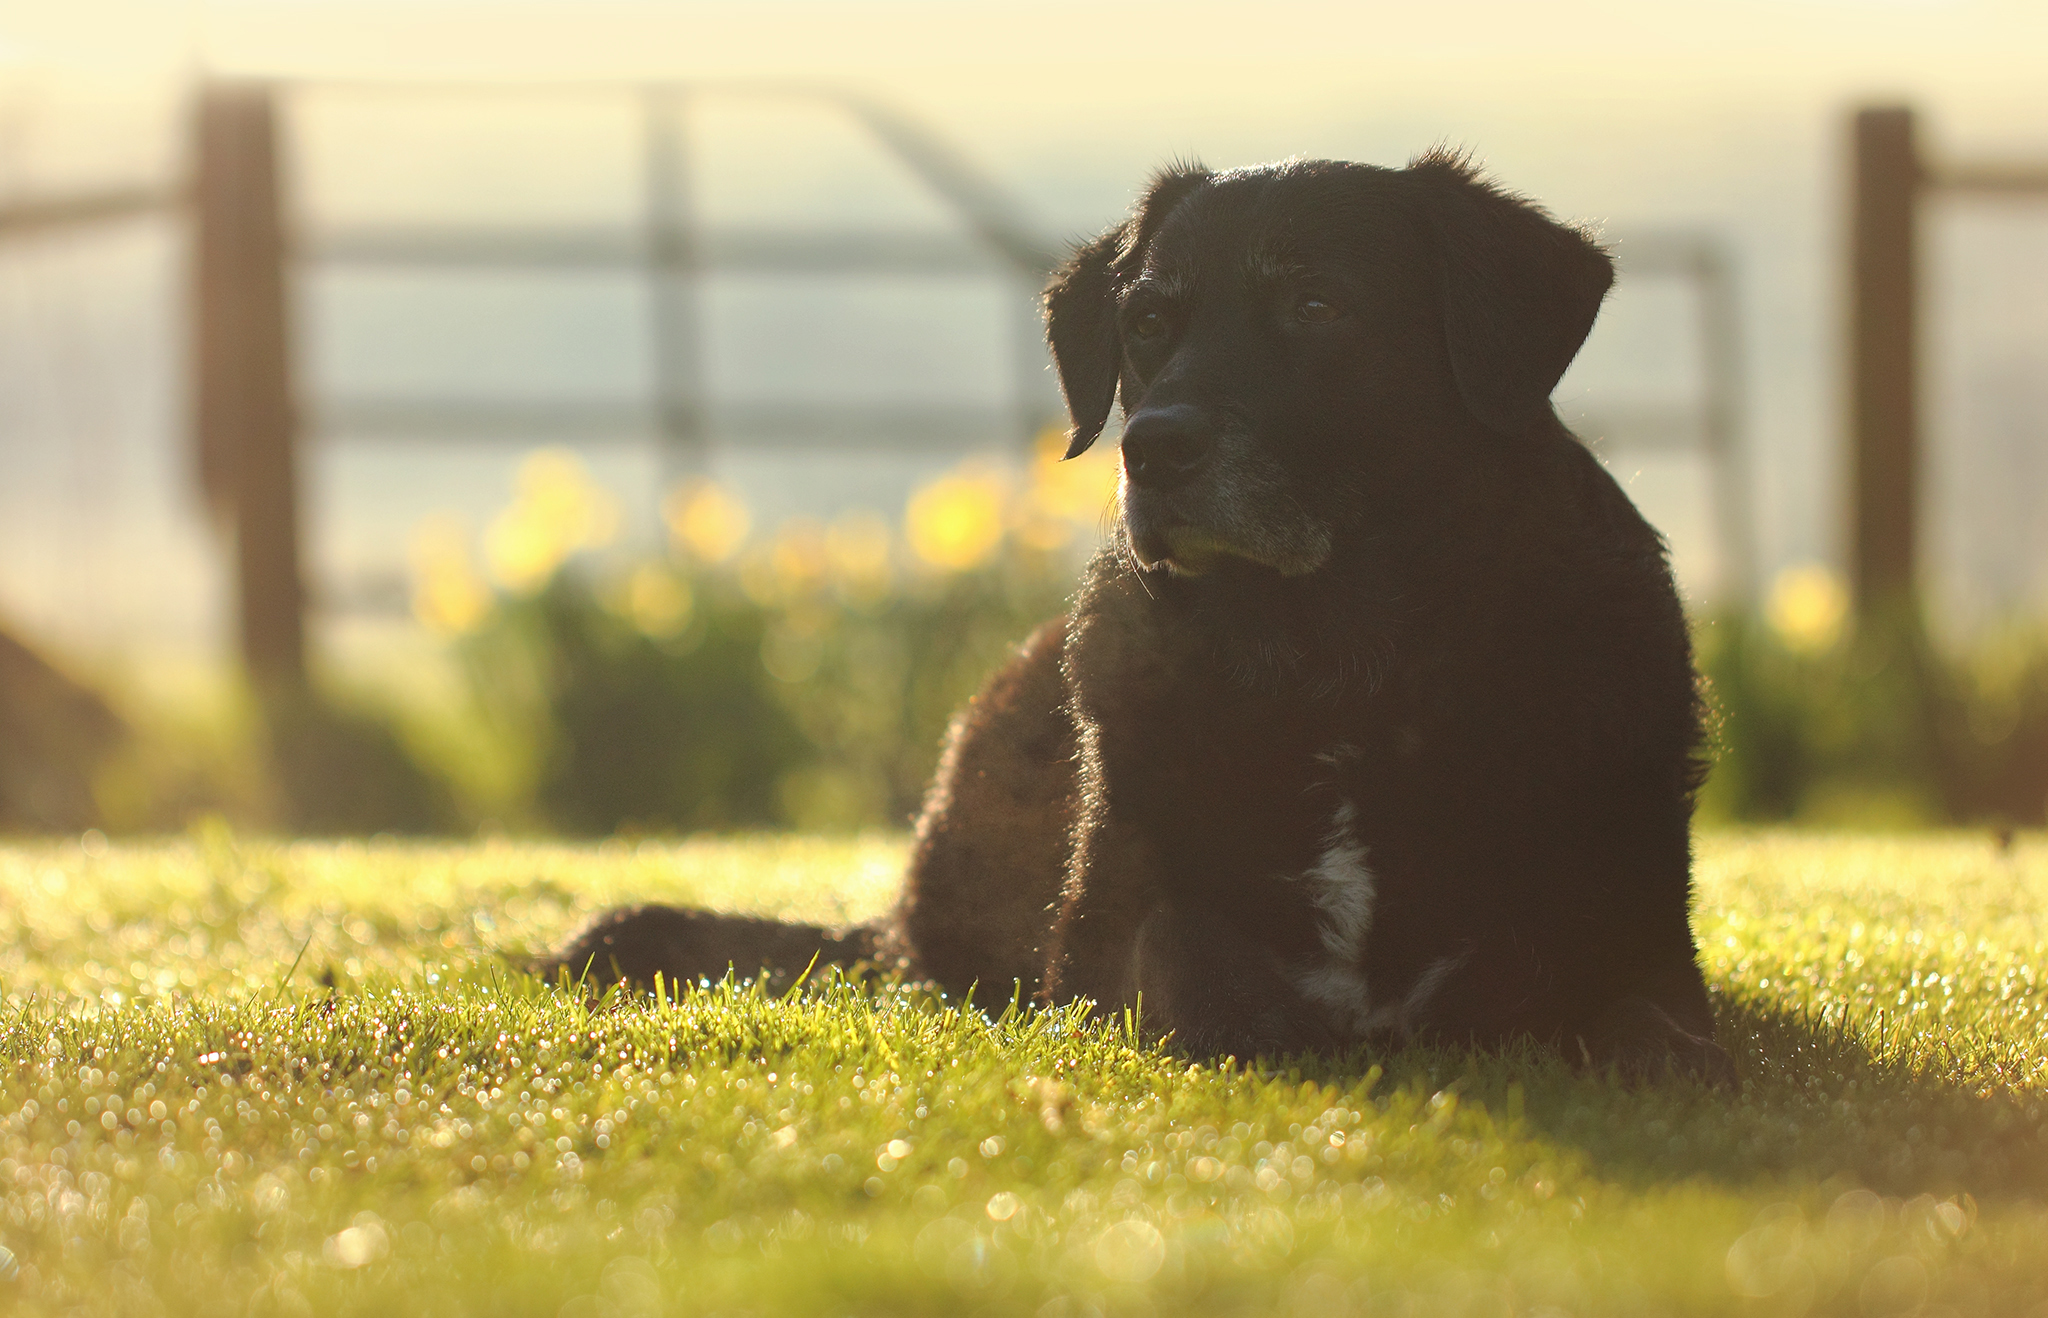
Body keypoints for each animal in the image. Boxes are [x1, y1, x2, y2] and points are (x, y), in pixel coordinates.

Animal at [544, 151, 1728, 1080]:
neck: (1342, 665)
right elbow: (1183, 963)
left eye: (1316, 307)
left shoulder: (1634, 933)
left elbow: (1649, 1023)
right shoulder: (1120, 926)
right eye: (1150, 322)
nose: (1152, 448)